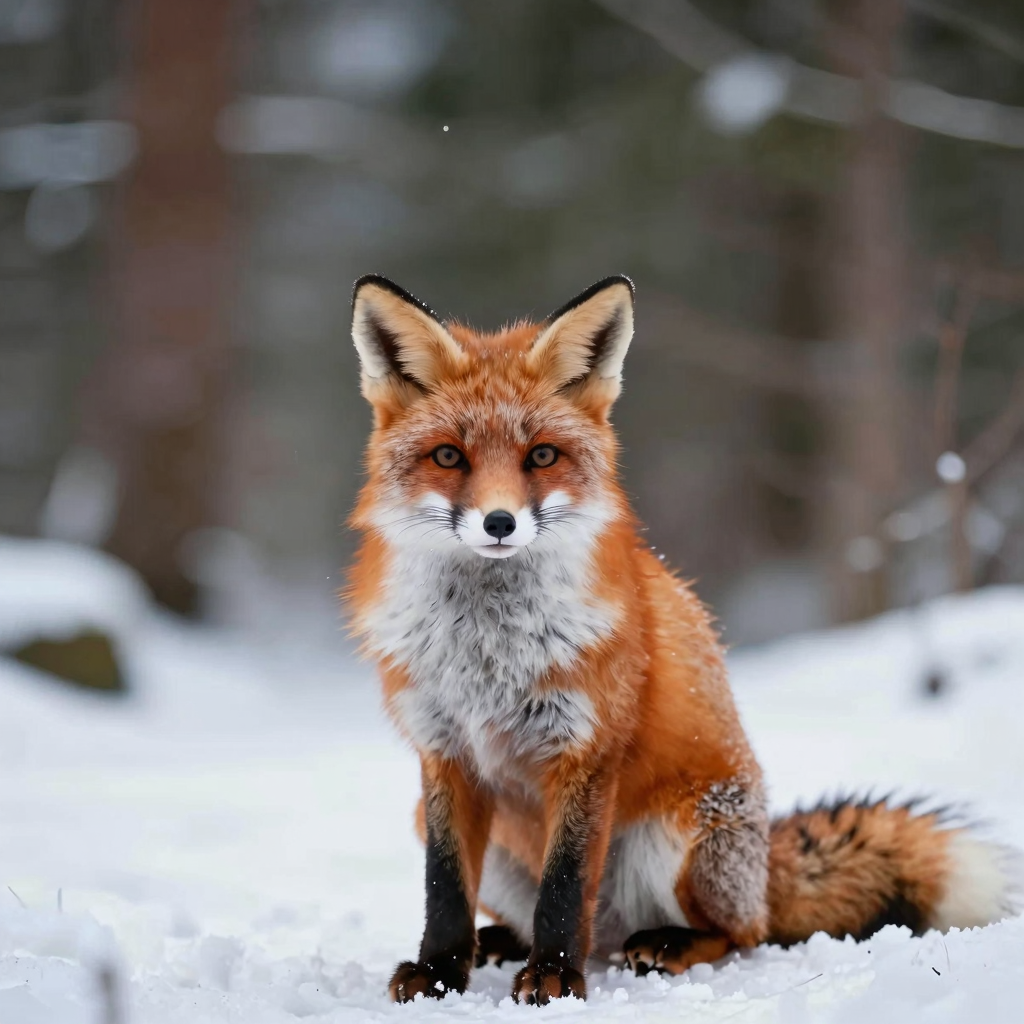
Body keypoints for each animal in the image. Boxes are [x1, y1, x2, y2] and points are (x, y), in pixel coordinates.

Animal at [345, 273, 1020, 1006]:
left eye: (542, 456)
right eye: (449, 456)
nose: (500, 522)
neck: (488, 653)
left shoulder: (587, 749)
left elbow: (565, 884)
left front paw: (554, 977)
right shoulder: (444, 752)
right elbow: (444, 887)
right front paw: (441, 971)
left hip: (684, 832)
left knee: (737, 932)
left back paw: (661, 944)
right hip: (450, 825)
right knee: (563, 921)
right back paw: (500, 944)